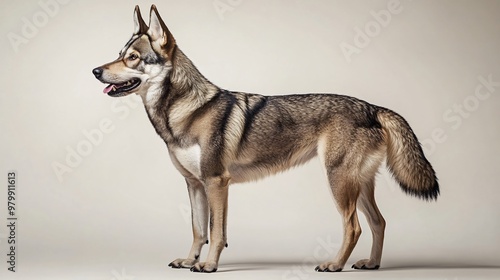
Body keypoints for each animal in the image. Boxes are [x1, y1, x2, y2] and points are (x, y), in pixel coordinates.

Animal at [93, 4, 438, 274]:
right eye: (119, 55)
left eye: (133, 58)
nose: (95, 70)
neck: (182, 111)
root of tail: (373, 107)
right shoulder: (194, 184)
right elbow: (197, 229)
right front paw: (190, 260)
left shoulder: (216, 182)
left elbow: (216, 231)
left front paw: (208, 265)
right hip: (359, 184)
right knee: (379, 222)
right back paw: (372, 264)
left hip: (339, 181)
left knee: (354, 227)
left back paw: (335, 265)